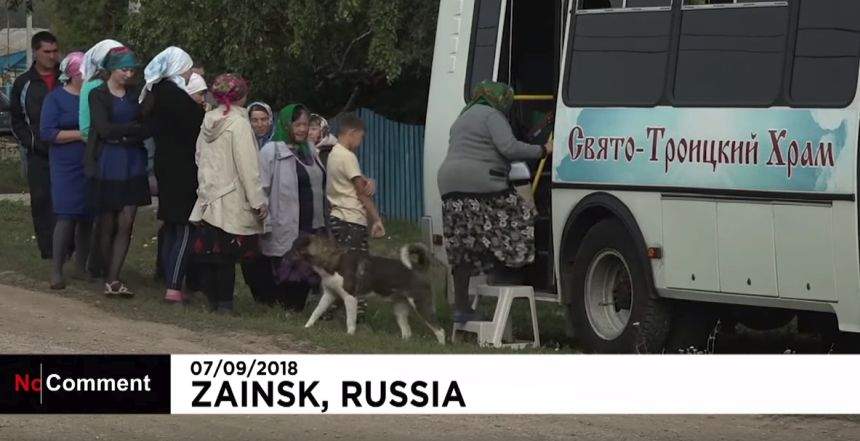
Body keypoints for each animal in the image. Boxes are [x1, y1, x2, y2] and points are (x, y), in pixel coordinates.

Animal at [292, 235, 446, 346]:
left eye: (294, 246)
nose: (287, 252)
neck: (333, 262)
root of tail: (419, 268)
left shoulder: (350, 298)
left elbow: (350, 321)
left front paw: (349, 336)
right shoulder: (329, 295)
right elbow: (316, 312)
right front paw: (307, 327)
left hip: (421, 305)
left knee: (440, 330)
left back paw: (440, 346)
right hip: (399, 309)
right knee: (407, 332)